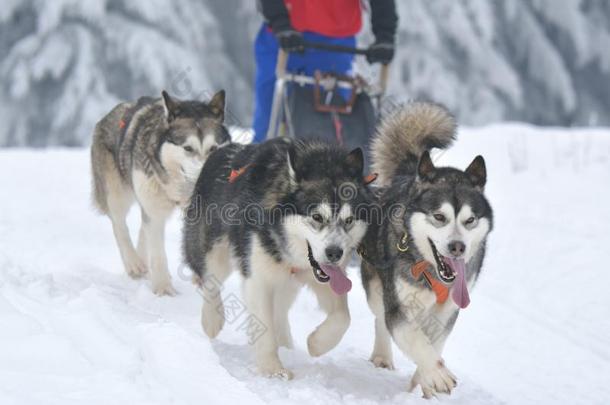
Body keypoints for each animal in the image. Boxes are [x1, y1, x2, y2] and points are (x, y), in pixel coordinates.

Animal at [91, 90, 229, 296]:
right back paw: (134, 264)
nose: (206, 176)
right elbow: (158, 253)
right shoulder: (153, 210)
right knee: (120, 226)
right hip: (117, 194)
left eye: (213, 148)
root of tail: (107, 116)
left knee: (143, 230)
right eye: (188, 148)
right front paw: (163, 290)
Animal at [182, 138, 370, 378]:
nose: (335, 253)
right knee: (210, 279)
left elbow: (343, 317)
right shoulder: (258, 279)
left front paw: (317, 344)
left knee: (279, 309)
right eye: (317, 217)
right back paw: (212, 320)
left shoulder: (323, 277)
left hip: (286, 281)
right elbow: (265, 326)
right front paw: (272, 369)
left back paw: (287, 344)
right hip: (216, 250)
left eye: (349, 220)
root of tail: (225, 148)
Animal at [358, 102, 492, 398]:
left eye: (470, 220)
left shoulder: (449, 310)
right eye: (439, 217)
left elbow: (434, 343)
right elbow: (415, 339)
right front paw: (437, 376)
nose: (457, 247)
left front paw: (424, 383)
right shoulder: (399, 307)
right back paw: (382, 356)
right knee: (380, 318)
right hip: (376, 287)